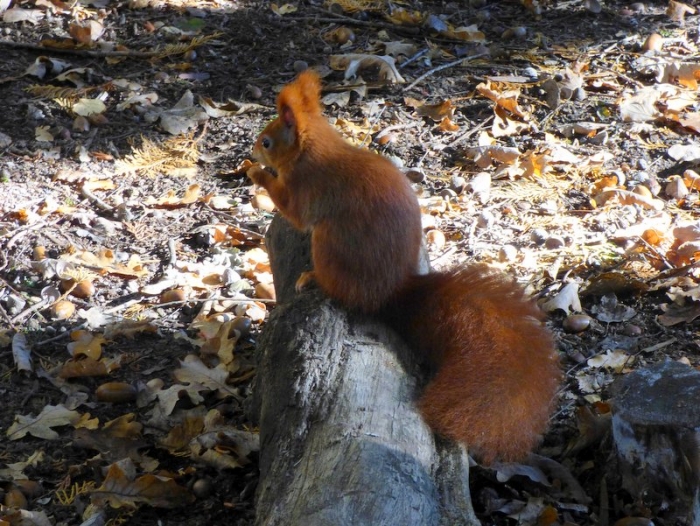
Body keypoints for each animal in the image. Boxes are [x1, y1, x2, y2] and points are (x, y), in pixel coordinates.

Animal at [247, 71, 560, 465]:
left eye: (268, 141)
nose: (252, 150)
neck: (313, 151)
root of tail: (390, 293)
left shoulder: (307, 188)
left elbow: (293, 210)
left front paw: (256, 173)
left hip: (330, 245)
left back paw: (313, 278)